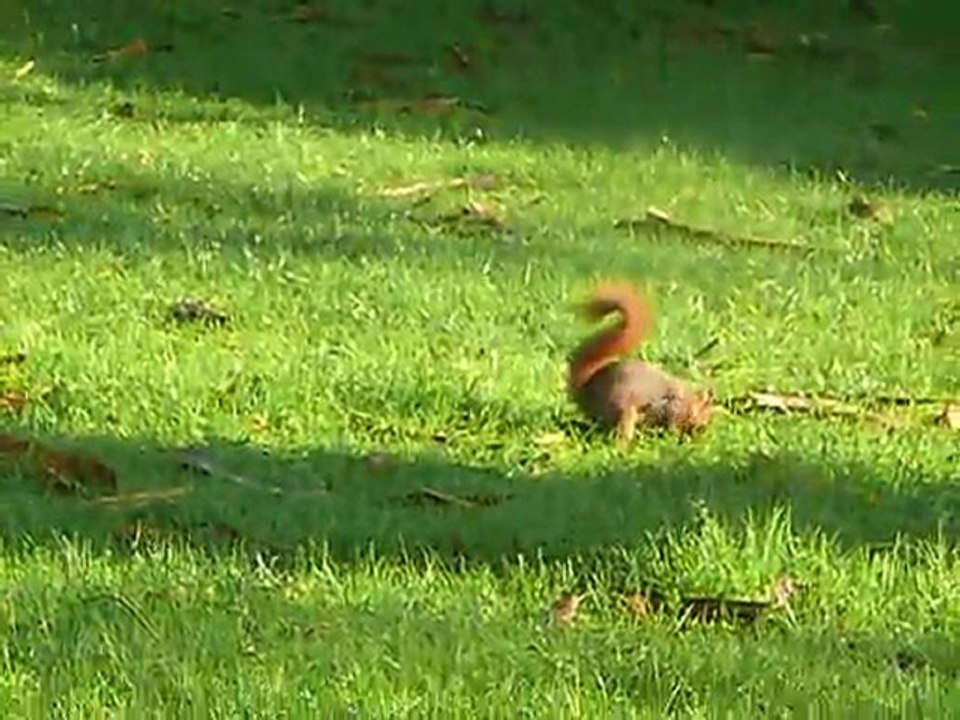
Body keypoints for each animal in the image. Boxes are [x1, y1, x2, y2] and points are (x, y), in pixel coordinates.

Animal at [567, 281, 714, 442]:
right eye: (705, 413)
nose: (702, 432)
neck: (687, 399)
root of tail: (586, 390)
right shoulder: (671, 408)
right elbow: (673, 424)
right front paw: (676, 436)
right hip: (623, 410)